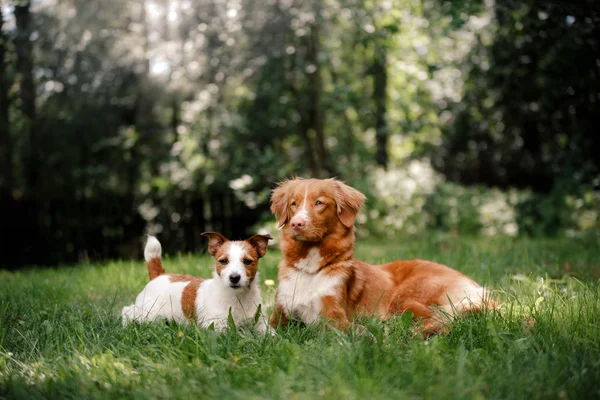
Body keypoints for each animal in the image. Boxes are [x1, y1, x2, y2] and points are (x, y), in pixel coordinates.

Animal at [123, 233, 274, 332]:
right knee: (127, 311)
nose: (234, 277)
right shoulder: (216, 324)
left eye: (247, 261)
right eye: (223, 261)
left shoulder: (260, 323)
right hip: (148, 312)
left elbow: (269, 334)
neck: (238, 297)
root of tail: (160, 275)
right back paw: (126, 326)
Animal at [270, 178, 494, 334]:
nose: (296, 224)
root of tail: (476, 285)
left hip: (406, 296)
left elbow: (342, 328)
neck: (310, 269)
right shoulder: (280, 313)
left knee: (440, 319)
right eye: (293, 204)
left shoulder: (333, 313)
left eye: (319, 203)